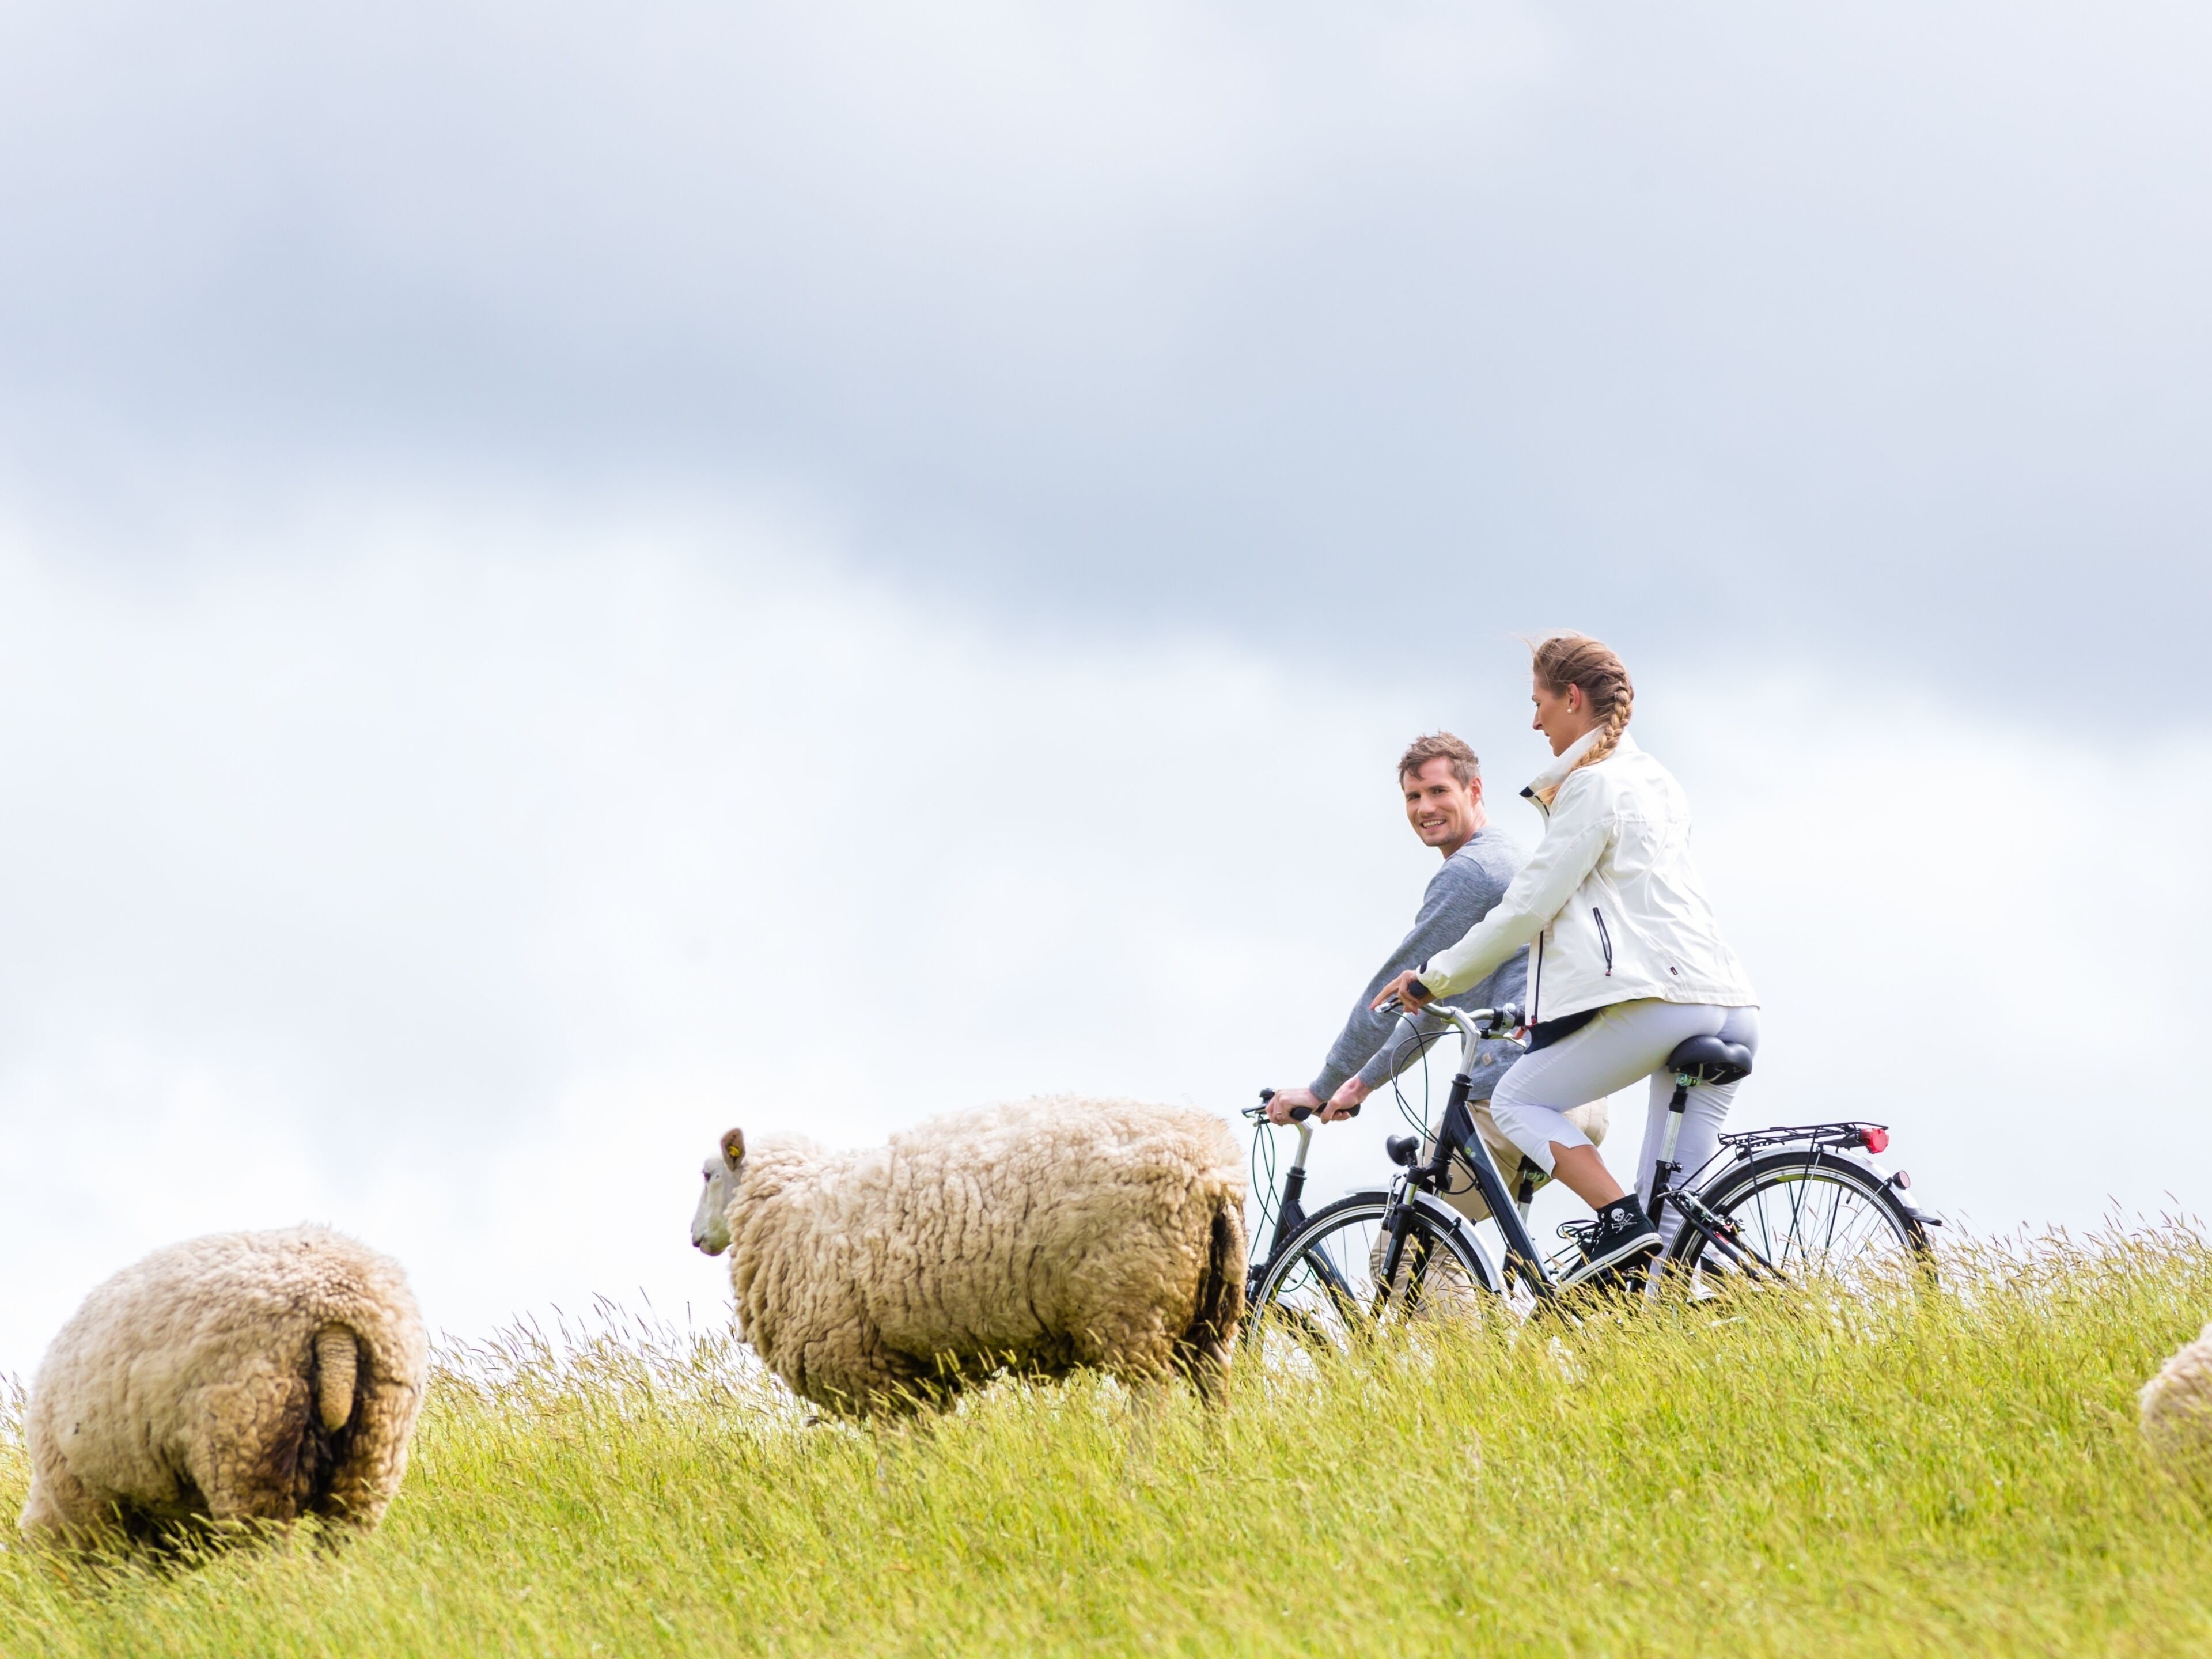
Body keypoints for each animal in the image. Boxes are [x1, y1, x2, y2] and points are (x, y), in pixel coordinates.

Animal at [20, 1225, 428, 1547]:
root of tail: (335, 1308)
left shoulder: (101, 1507)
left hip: (249, 1440)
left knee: (267, 1550)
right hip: (376, 1443)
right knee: (342, 1537)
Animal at [690, 1097, 1247, 1417]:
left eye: (708, 1174)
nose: (695, 1238)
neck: (788, 1202)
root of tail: (1213, 1173)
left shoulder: (865, 1366)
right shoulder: (913, 1377)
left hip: (1132, 1299)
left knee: (1150, 1400)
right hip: (1208, 1311)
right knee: (1214, 1388)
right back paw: (1216, 1464)